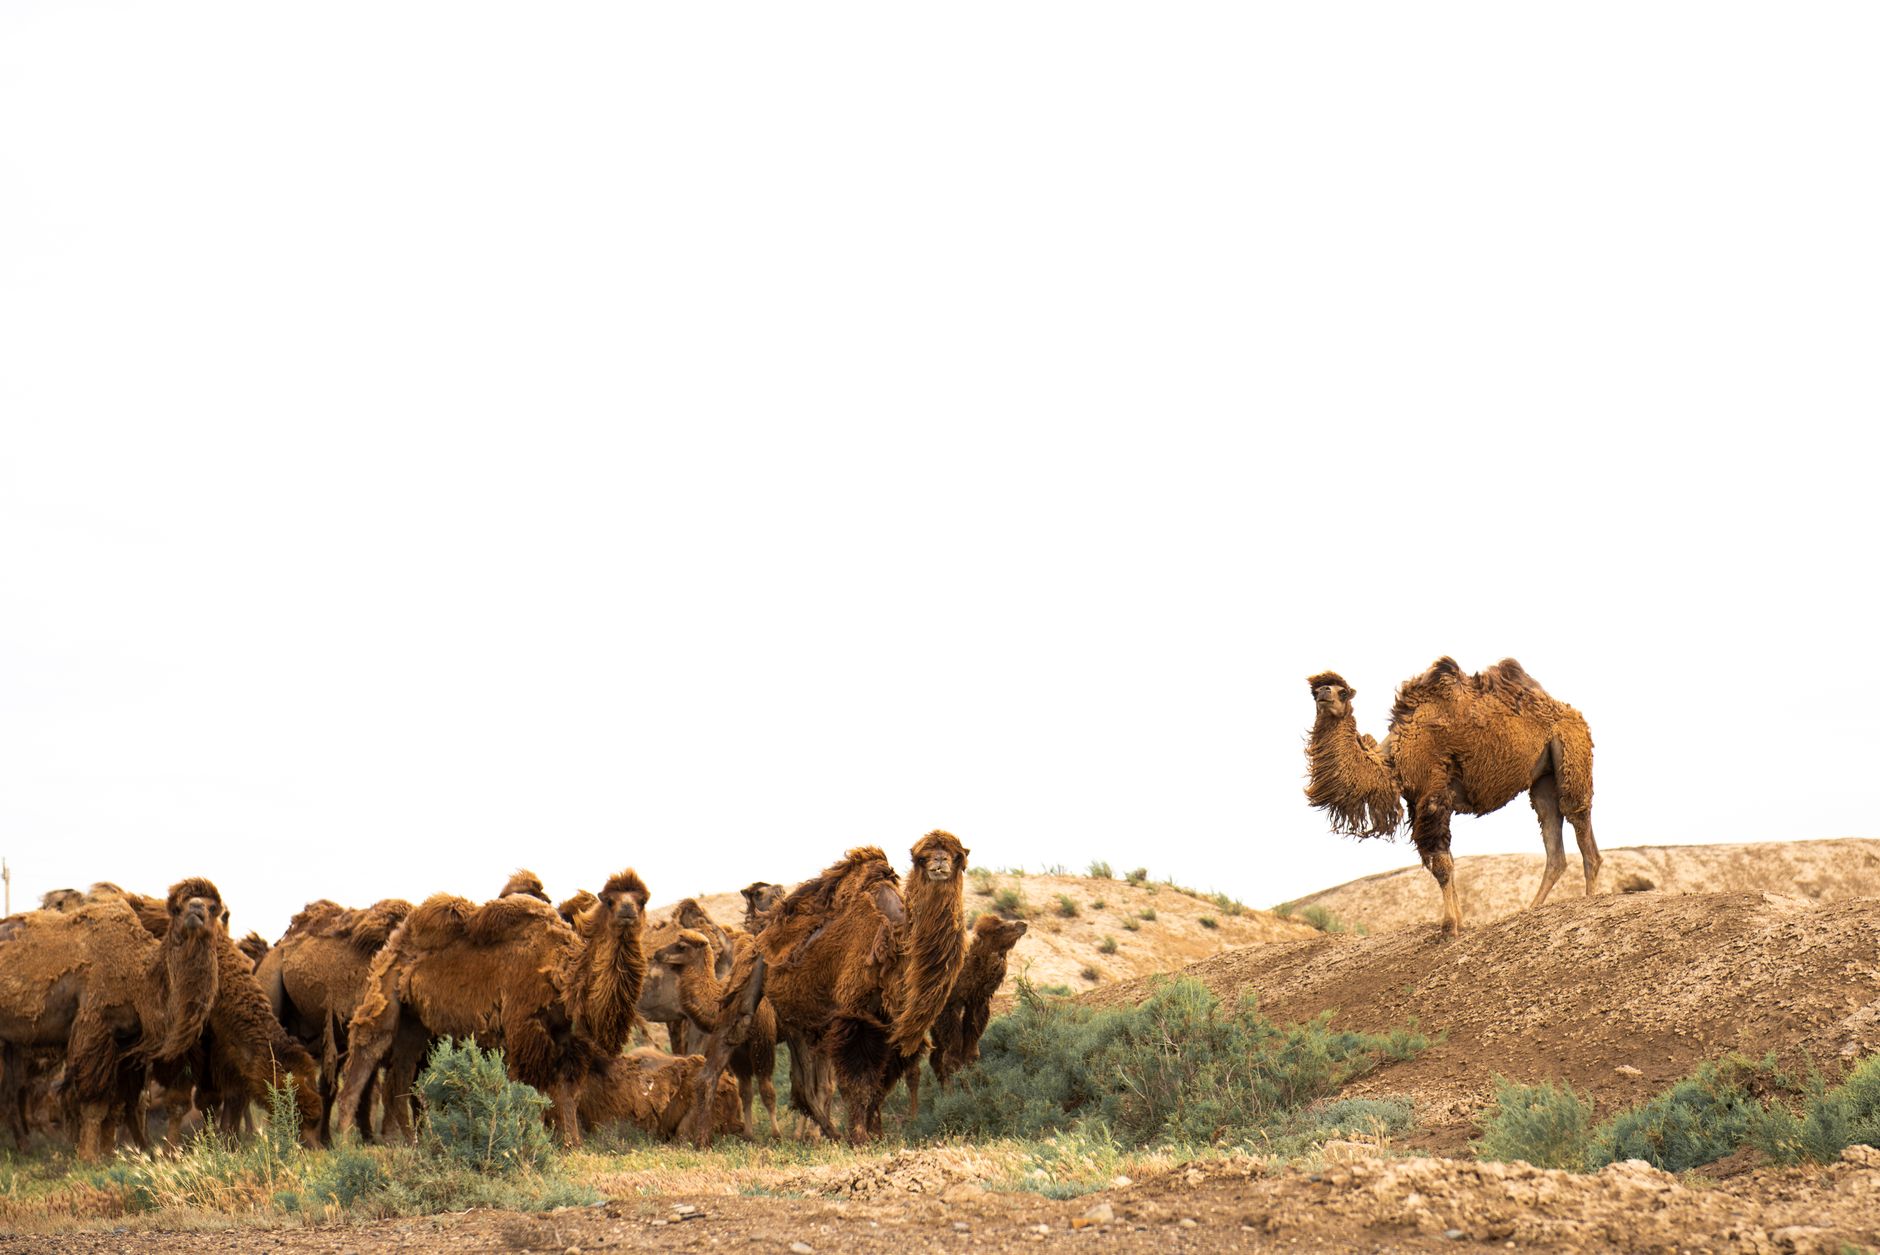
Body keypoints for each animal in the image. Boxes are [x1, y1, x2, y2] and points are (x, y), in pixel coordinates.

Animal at [0, 879, 223, 1159]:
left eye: (213, 908)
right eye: (176, 908)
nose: (195, 909)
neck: (139, 979)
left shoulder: (124, 1045)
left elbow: (116, 1104)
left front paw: (109, 1153)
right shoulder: (95, 1029)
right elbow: (94, 1103)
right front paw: (88, 1158)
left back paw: (24, 1147)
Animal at [334, 870, 649, 1147]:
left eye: (642, 900)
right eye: (609, 900)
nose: (627, 911)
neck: (562, 975)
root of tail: (395, 941)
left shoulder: (567, 1039)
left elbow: (567, 1090)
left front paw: (573, 1144)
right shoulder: (524, 1028)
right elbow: (532, 1087)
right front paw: (532, 1140)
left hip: (415, 1022)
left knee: (399, 1075)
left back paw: (409, 1143)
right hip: (384, 997)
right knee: (366, 1053)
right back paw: (347, 1145)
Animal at [693, 831, 969, 1146]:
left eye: (957, 855)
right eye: (922, 858)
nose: (939, 862)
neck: (897, 940)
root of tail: (761, 929)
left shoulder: (890, 1023)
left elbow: (880, 1083)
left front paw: (875, 1133)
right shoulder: (854, 1015)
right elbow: (859, 1081)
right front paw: (860, 1137)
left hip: (800, 1014)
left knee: (804, 1086)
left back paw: (829, 1132)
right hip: (753, 974)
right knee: (728, 1043)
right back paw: (702, 1139)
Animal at [907, 913, 1028, 1118]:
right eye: (1000, 928)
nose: (1022, 924)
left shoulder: (977, 1002)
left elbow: (970, 1053)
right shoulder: (949, 1008)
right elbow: (953, 1058)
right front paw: (961, 1098)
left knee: (934, 1058)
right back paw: (914, 1116)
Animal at [1305, 656, 1599, 935]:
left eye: (1343, 692)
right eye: (1315, 691)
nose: (1323, 693)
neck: (1395, 758)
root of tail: (1575, 714)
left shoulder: (1433, 794)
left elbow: (1441, 865)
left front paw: (1448, 928)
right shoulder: (1418, 802)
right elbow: (1447, 861)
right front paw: (1460, 923)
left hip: (1571, 750)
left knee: (1577, 816)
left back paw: (1588, 900)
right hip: (1542, 778)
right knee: (1552, 835)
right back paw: (1530, 909)